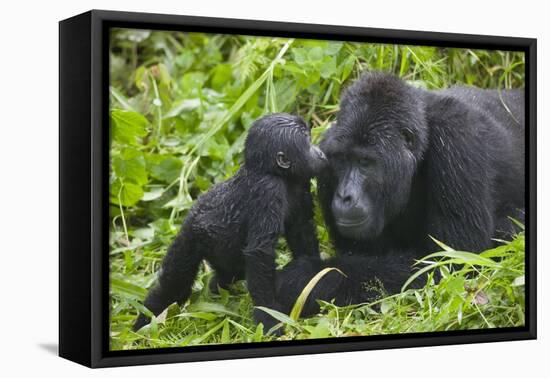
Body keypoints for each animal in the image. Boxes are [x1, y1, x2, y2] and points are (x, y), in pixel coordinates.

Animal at [135, 112, 328, 330]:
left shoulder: (300, 181)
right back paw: (145, 322)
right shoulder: (268, 190)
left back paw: (215, 291)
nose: (320, 153)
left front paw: (313, 276)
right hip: (189, 238)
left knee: (229, 273)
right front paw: (269, 317)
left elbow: (301, 230)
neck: (273, 171)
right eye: (308, 142)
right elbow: (260, 253)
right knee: (174, 284)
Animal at [276, 71, 528, 316]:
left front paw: (304, 278)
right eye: (342, 160)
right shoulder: (326, 154)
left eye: (365, 162)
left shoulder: (458, 138)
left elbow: (451, 261)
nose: (344, 196)